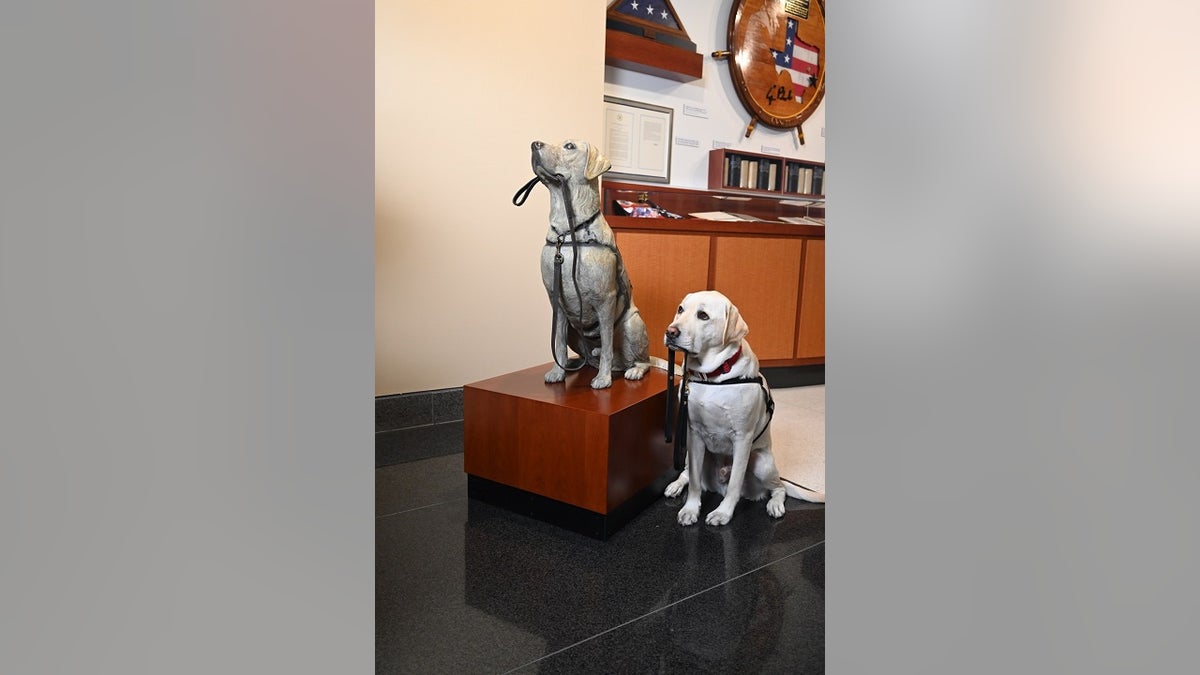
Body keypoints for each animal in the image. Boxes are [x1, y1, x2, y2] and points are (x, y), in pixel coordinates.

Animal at [520, 138, 652, 386]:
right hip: (575, 330)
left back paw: (632, 371)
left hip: (633, 324)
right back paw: (575, 364)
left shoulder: (605, 300)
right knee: (589, 357)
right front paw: (558, 372)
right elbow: (558, 343)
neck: (567, 234)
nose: (534, 144)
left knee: (640, 360)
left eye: (569, 146)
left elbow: (607, 344)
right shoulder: (556, 302)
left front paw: (603, 379)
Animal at [667, 289, 825, 526]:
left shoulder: (742, 438)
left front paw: (723, 513)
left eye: (703, 315)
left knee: (778, 488)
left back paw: (775, 504)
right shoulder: (694, 434)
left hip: (762, 462)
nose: (670, 332)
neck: (713, 377)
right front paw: (690, 509)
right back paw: (676, 485)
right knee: (687, 473)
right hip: (689, 453)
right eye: (680, 309)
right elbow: (694, 481)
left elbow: (735, 483)